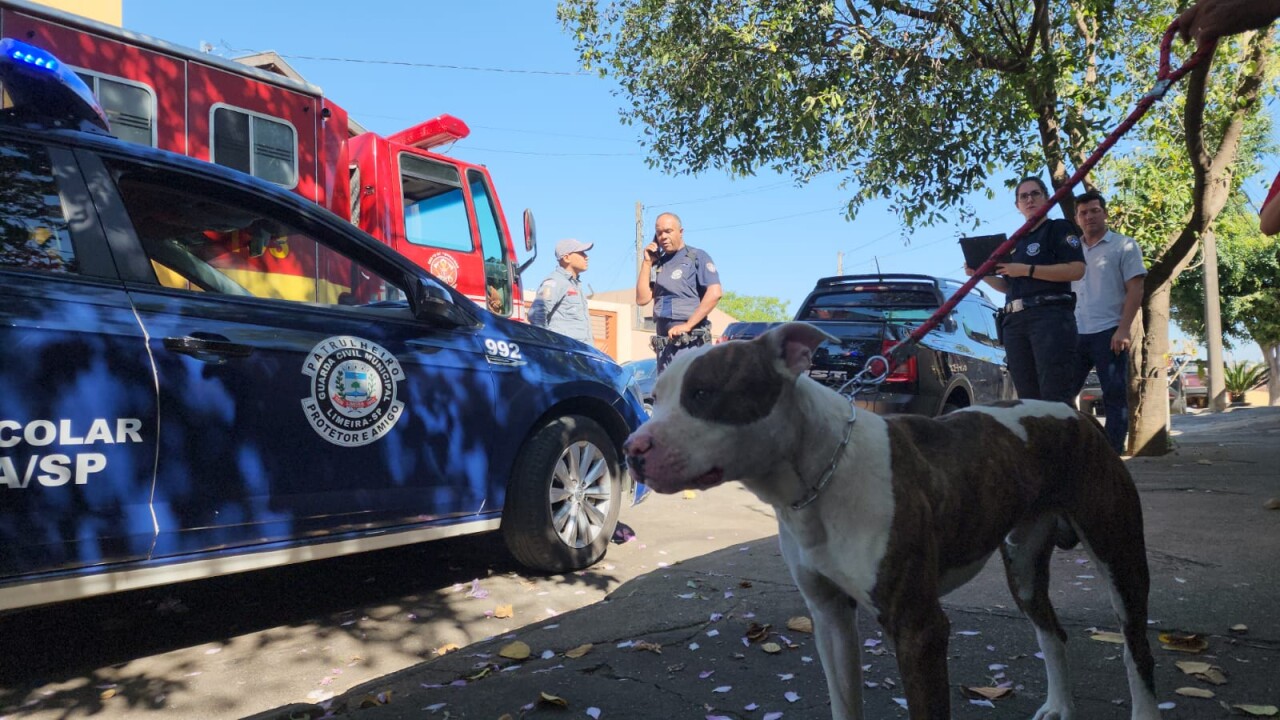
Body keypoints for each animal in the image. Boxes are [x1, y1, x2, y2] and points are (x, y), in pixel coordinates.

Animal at [622, 322, 1162, 712]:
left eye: (703, 394)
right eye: (656, 398)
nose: (631, 449)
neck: (817, 479)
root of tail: (1078, 415)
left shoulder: (919, 629)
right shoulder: (830, 618)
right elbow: (844, 703)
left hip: (1119, 555)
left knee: (1136, 649)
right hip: (1024, 567)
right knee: (1052, 632)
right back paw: (1060, 707)